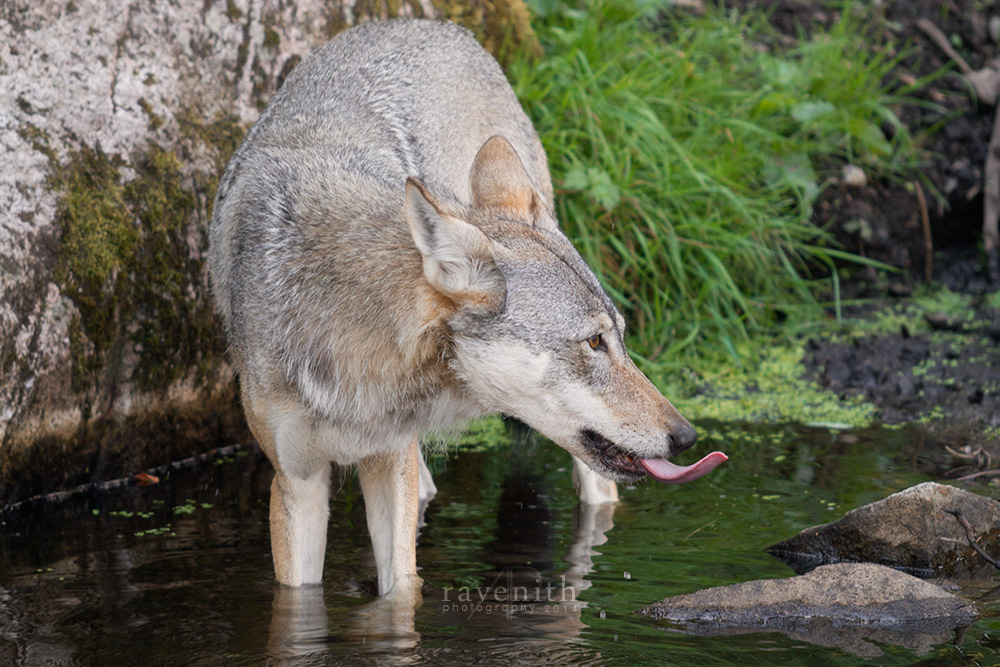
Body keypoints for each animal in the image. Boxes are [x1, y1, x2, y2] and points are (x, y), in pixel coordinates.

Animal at [211, 19, 728, 596]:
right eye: (594, 342)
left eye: (618, 337)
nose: (686, 436)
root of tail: (434, 24)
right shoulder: (295, 484)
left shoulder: (388, 462)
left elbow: (401, 592)